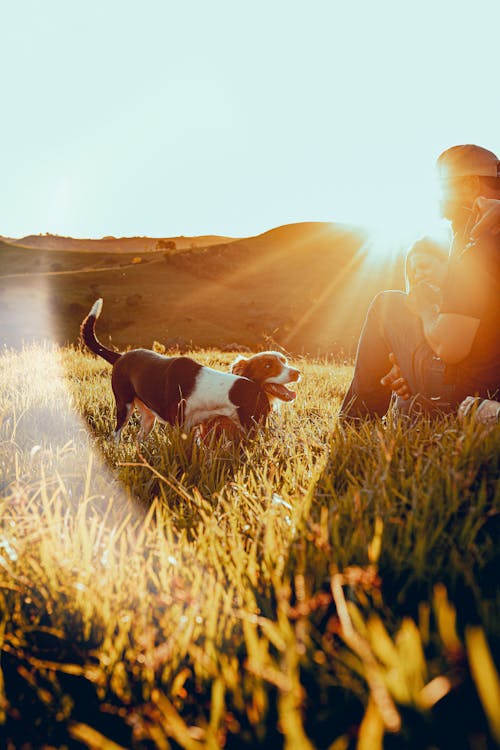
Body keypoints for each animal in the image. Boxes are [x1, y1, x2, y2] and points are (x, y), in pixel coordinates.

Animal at [80, 298, 298, 440]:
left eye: (284, 361)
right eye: (268, 366)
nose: (297, 373)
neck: (215, 390)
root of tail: (120, 357)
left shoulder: (196, 427)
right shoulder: (179, 428)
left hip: (148, 416)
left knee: (140, 436)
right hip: (123, 406)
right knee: (116, 434)